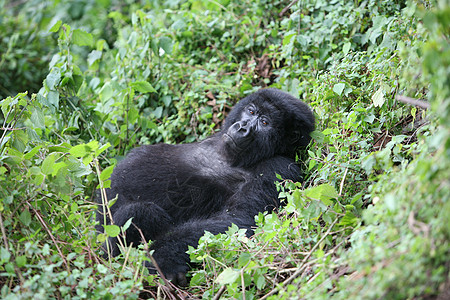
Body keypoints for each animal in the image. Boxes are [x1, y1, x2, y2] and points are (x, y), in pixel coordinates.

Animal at [96, 87, 312, 286]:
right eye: (251, 112)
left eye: (265, 123)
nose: (243, 127)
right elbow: (117, 183)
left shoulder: (279, 169)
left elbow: (237, 220)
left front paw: (162, 257)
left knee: (140, 212)